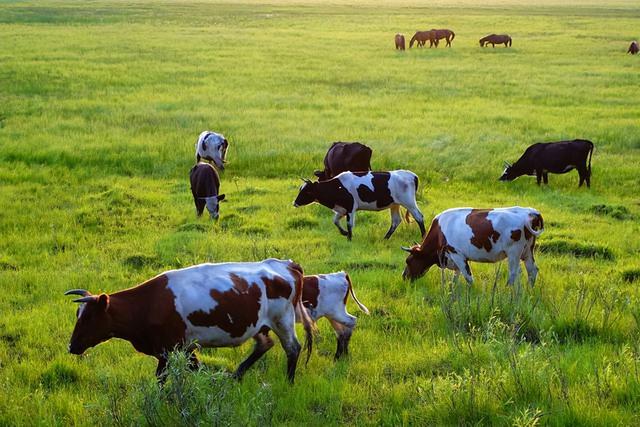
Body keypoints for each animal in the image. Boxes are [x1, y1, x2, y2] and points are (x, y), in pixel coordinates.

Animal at [64, 260, 316, 384]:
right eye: (78, 315)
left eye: (89, 317)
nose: (72, 346)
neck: (149, 304)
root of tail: (284, 264)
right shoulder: (177, 349)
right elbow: (193, 369)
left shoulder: (171, 348)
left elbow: (166, 377)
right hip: (257, 324)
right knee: (264, 344)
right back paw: (236, 376)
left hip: (283, 318)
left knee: (292, 348)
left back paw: (289, 382)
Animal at [294, 171, 424, 244]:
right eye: (300, 189)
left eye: (307, 191)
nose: (295, 203)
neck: (338, 186)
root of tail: (412, 175)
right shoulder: (342, 209)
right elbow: (335, 220)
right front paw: (344, 233)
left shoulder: (350, 207)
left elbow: (349, 224)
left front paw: (349, 238)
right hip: (395, 205)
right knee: (396, 221)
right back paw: (385, 238)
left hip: (409, 202)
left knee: (419, 217)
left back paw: (423, 237)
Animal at [400, 208, 544, 288]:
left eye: (408, 261)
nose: (404, 276)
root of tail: (530, 212)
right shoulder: (454, 258)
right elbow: (455, 277)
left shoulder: (456, 253)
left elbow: (468, 277)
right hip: (527, 251)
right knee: (532, 271)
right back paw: (529, 290)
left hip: (514, 252)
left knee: (514, 273)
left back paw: (507, 290)